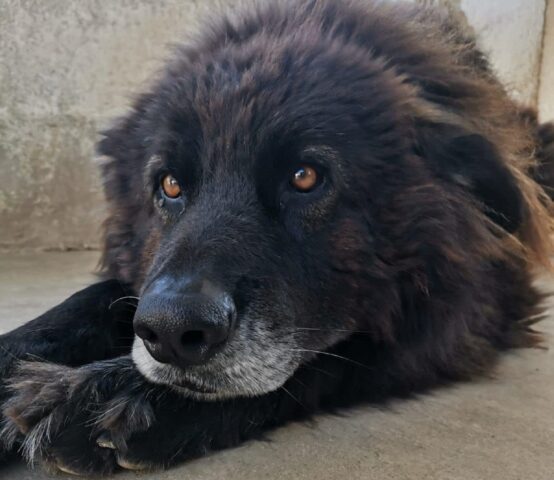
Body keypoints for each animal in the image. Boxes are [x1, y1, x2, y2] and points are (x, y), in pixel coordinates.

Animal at [1, 0, 552, 472]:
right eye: (170, 184)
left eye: (305, 177)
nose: (171, 333)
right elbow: (93, 299)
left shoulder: (472, 308)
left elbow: (335, 357)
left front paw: (119, 394)